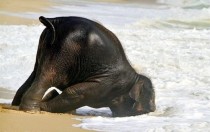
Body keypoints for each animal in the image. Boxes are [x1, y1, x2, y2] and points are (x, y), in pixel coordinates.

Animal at [11, 16, 156, 116]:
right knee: (48, 76)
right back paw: (32, 110)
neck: (135, 77)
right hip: (65, 51)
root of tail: (56, 21)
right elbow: (76, 93)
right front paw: (46, 104)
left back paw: (16, 105)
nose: (153, 109)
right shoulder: (107, 84)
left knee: (35, 73)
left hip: (46, 45)